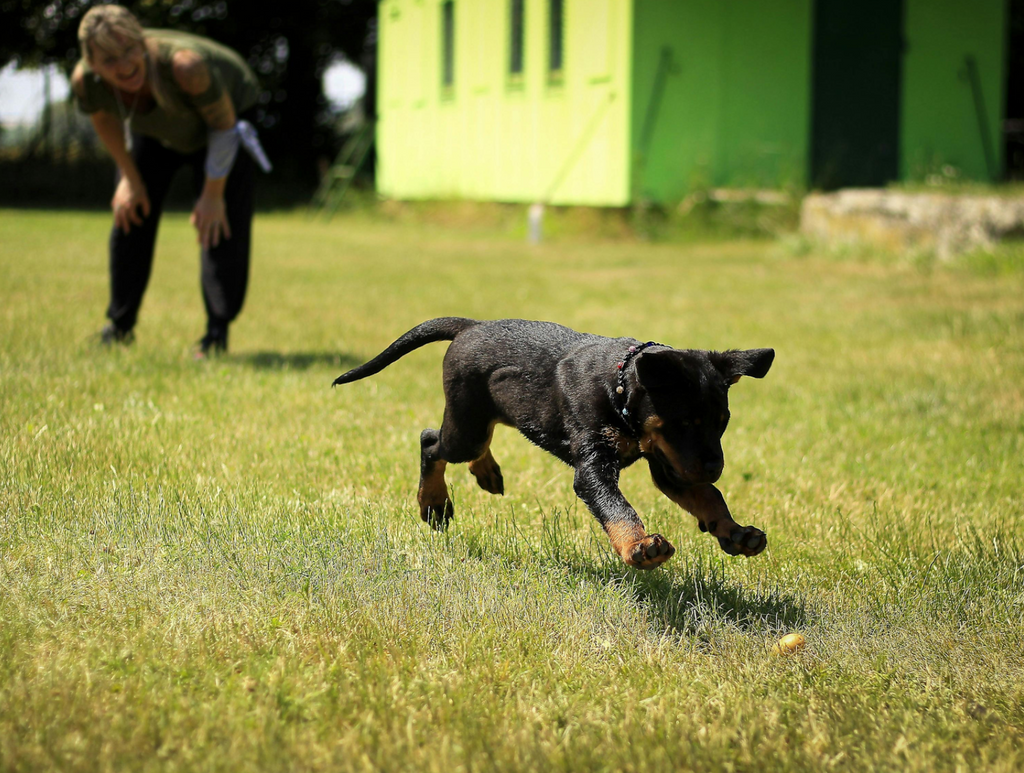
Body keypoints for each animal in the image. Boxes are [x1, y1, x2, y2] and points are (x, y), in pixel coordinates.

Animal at [331, 317, 770, 573]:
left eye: (722, 423)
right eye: (684, 423)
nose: (715, 467)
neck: (619, 387)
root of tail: (471, 326)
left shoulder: (670, 464)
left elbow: (709, 497)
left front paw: (736, 533)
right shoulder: (595, 467)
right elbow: (618, 507)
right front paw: (639, 547)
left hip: (486, 416)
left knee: (473, 441)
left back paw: (486, 472)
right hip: (466, 426)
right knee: (430, 442)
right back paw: (434, 503)